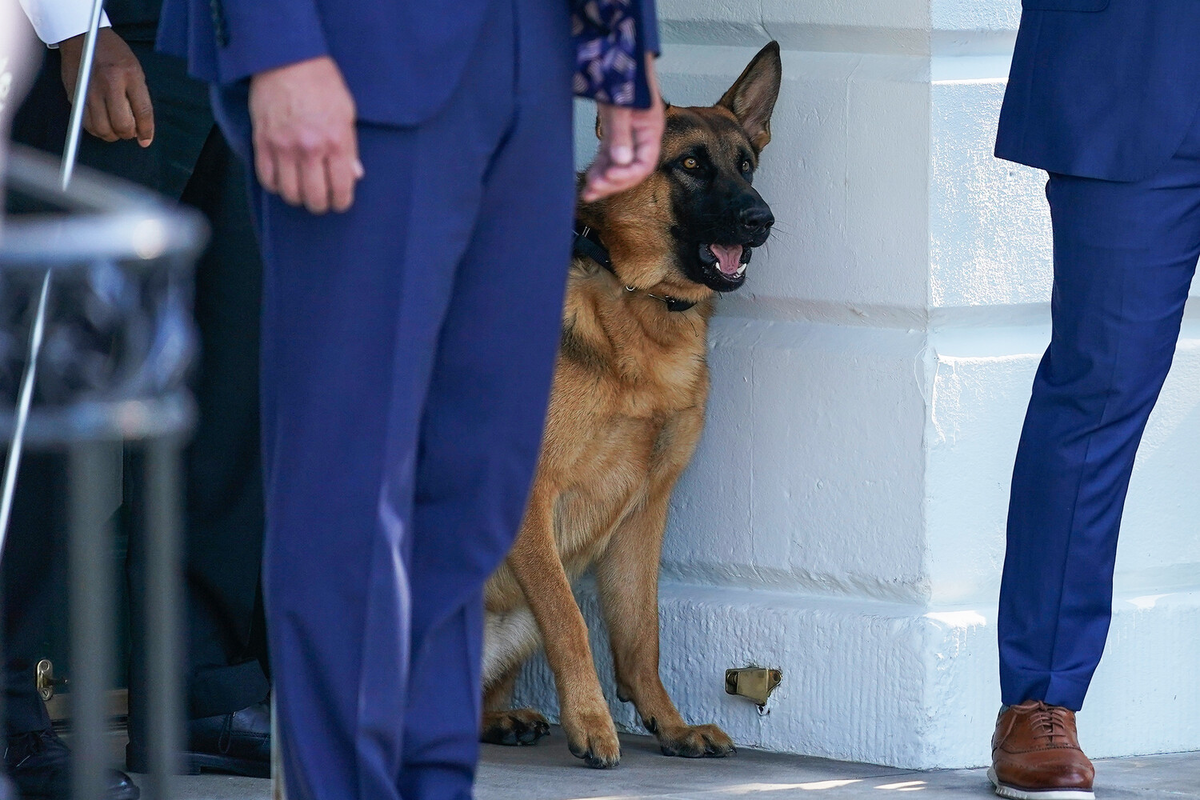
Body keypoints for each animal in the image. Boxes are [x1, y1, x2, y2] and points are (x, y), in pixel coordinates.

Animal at [480, 43, 787, 767]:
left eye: (746, 165)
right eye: (691, 165)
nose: (761, 220)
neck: (637, 298)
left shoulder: (646, 508)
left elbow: (641, 634)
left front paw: (669, 725)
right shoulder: (531, 498)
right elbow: (571, 623)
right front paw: (593, 722)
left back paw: (501, 718)